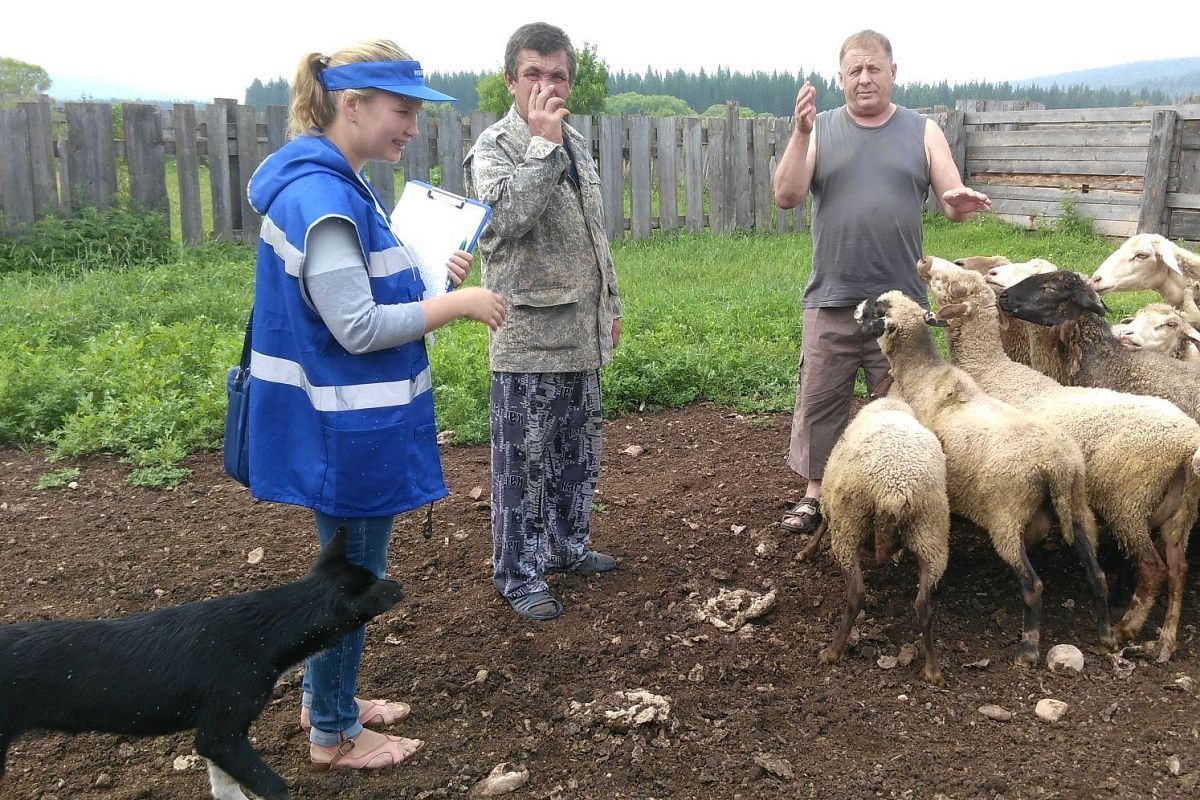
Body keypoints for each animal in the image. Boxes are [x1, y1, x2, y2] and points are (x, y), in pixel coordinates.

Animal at [0, 527, 403, 796]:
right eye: (376, 586)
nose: (399, 585)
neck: (266, 627)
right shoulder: (221, 736)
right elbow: (274, 786)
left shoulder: (216, 739)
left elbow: (226, 789)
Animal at [859, 291, 1108, 666]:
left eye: (877, 309)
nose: (855, 308)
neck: (922, 376)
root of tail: (1055, 467)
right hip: (1077, 507)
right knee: (1098, 575)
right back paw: (1108, 636)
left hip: (1007, 516)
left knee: (1033, 585)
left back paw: (1028, 649)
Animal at [916, 257, 1200, 662]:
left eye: (954, 284)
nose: (926, 261)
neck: (991, 366)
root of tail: (1186, 444)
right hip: (1179, 514)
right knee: (1178, 569)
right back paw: (1164, 642)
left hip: (1129, 502)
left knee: (1152, 569)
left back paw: (1127, 626)